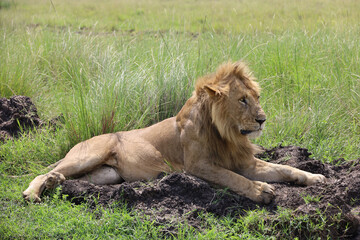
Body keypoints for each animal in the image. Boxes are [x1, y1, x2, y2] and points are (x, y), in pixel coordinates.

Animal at [22, 61, 326, 203]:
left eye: (257, 97)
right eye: (242, 100)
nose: (262, 120)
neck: (228, 134)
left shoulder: (246, 163)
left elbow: (286, 168)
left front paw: (315, 177)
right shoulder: (197, 167)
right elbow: (234, 178)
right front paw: (261, 190)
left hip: (107, 174)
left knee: (70, 178)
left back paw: (56, 183)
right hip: (88, 156)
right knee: (41, 173)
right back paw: (33, 193)